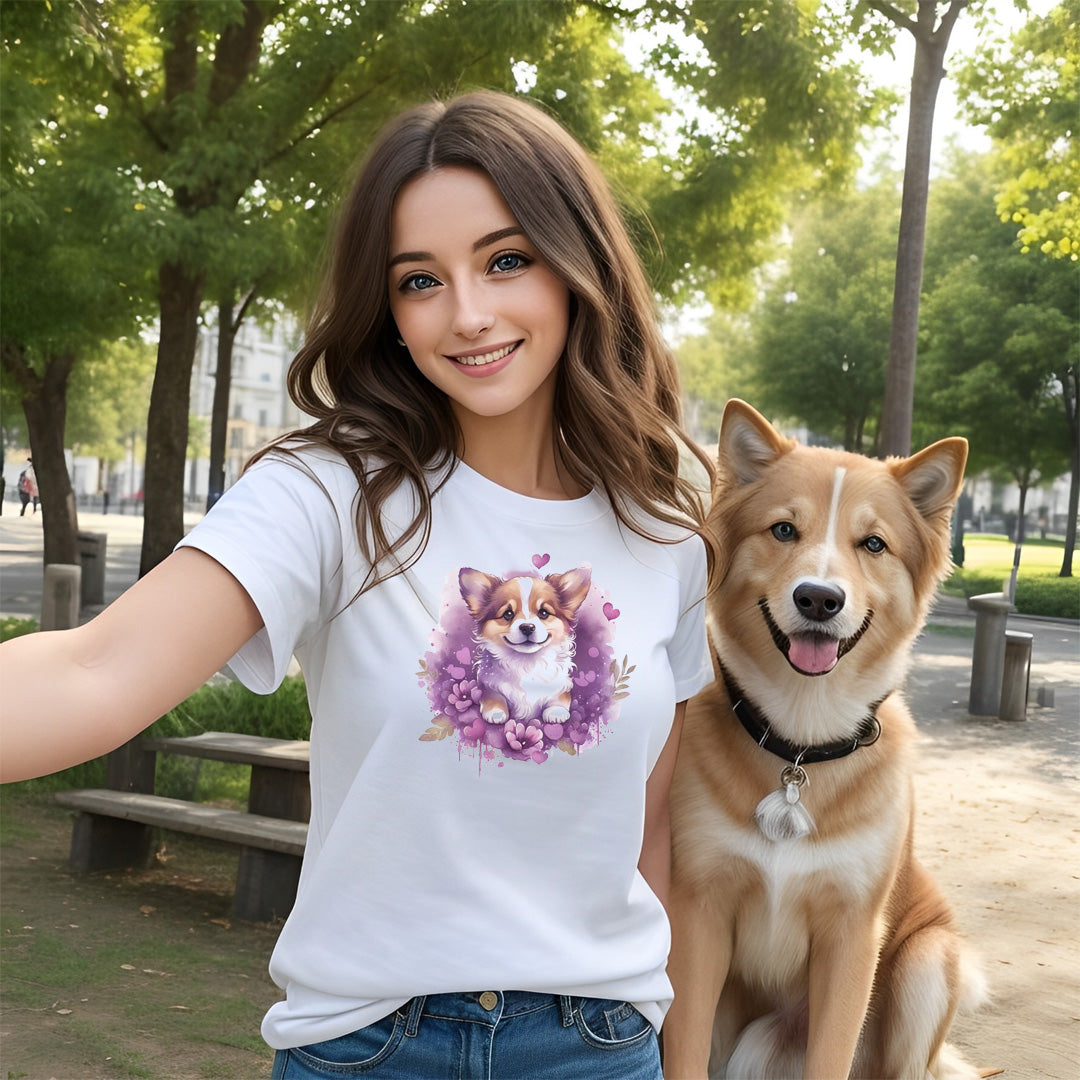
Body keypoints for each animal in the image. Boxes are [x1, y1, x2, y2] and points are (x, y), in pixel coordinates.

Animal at [660, 401, 984, 1075]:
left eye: (874, 544)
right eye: (784, 531)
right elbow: (684, 1047)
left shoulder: (852, 935)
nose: (818, 597)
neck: (800, 748)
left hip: (927, 962)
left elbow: (831, 1053)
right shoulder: (698, 913)